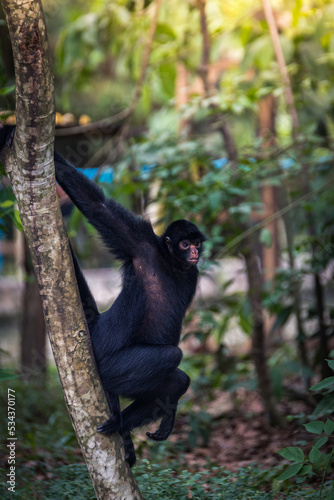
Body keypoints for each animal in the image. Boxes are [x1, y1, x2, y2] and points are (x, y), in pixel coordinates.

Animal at [0, 124, 206, 464]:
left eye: (197, 244)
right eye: (185, 244)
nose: (194, 253)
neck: (169, 265)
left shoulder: (192, 271)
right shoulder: (140, 243)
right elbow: (98, 206)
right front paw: (11, 131)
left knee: (177, 380)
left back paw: (127, 428)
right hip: (107, 360)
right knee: (168, 357)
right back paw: (114, 406)